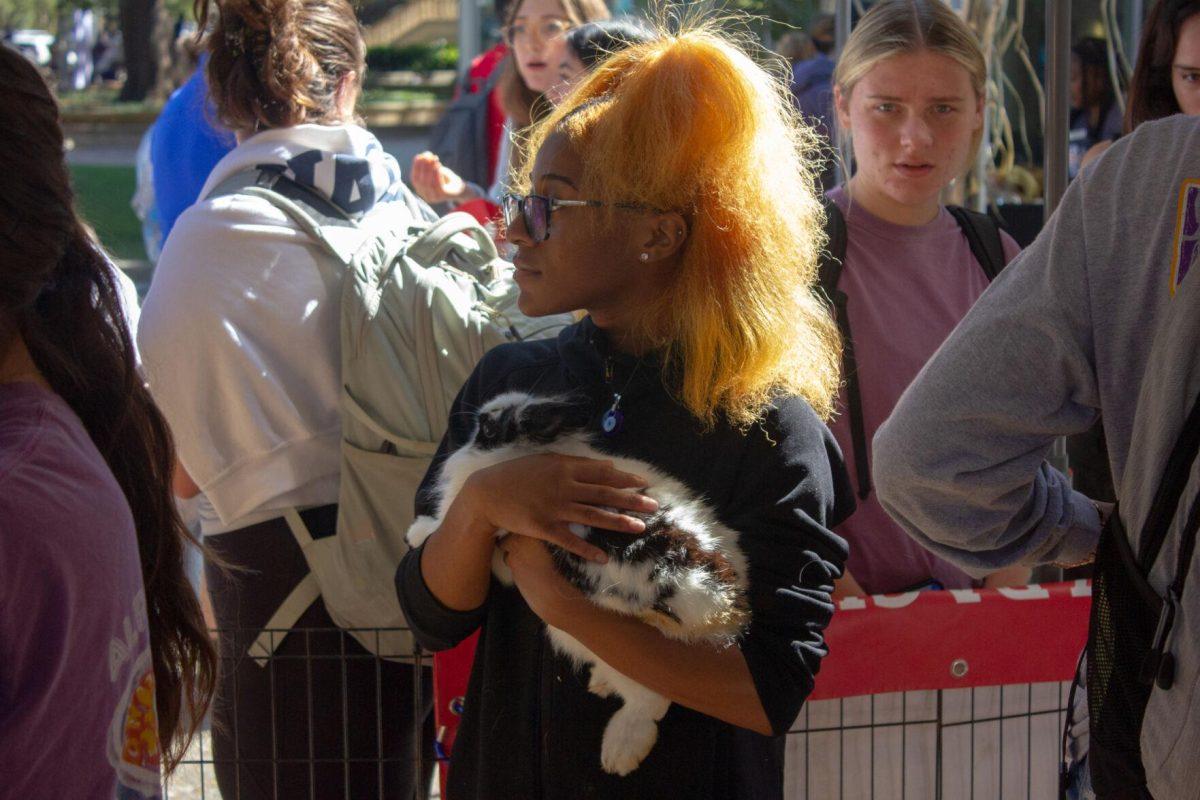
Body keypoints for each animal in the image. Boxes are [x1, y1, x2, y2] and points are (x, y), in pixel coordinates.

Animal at [410, 393, 748, 777]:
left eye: (489, 428)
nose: (473, 422)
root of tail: (725, 607)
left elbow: (445, 528)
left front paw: (418, 531)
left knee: (652, 700)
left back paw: (620, 751)